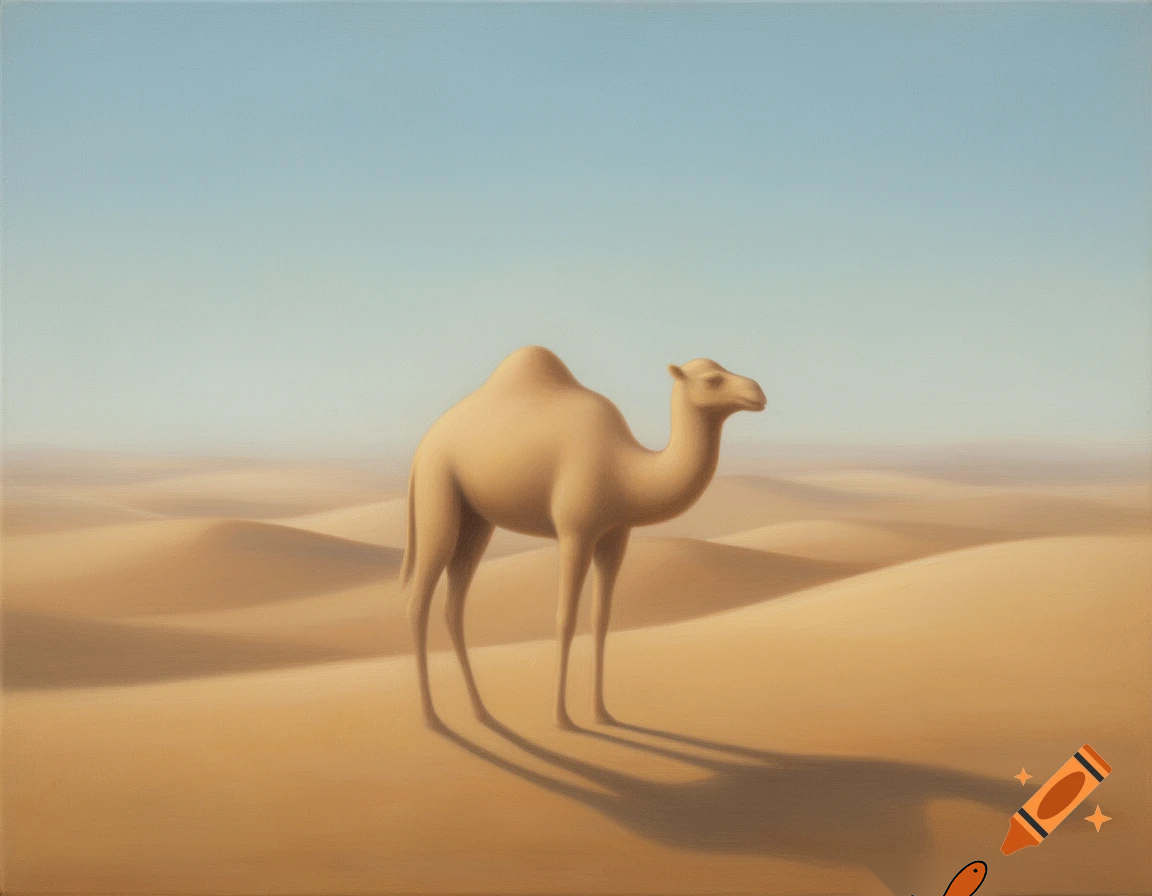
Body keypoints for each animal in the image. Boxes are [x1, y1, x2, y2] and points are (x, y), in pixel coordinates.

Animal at [401, 346, 766, 729]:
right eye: (712, 379)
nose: (757, 392)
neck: (625, 470)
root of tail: (423, 445)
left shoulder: (615, 534)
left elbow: (601, 618)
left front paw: (601, 711)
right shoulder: (575, 531)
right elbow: (566, 618)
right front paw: (561, 716)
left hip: (476, 520)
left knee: (454, 605)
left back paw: (481, 711)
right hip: (437, 484)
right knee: (419, 600)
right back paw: (431, 716)